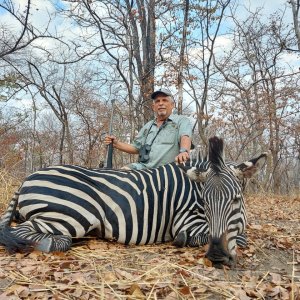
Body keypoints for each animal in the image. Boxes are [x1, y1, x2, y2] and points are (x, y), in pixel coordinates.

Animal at [0, 137, 268, 266]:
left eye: (236, 200)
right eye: (205, 202)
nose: (217, 257)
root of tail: (27, 178)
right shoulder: (184, 221)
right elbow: (240, 237)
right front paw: (184, 240)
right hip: (74, 213)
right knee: (26, 232)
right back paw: (52, 243)